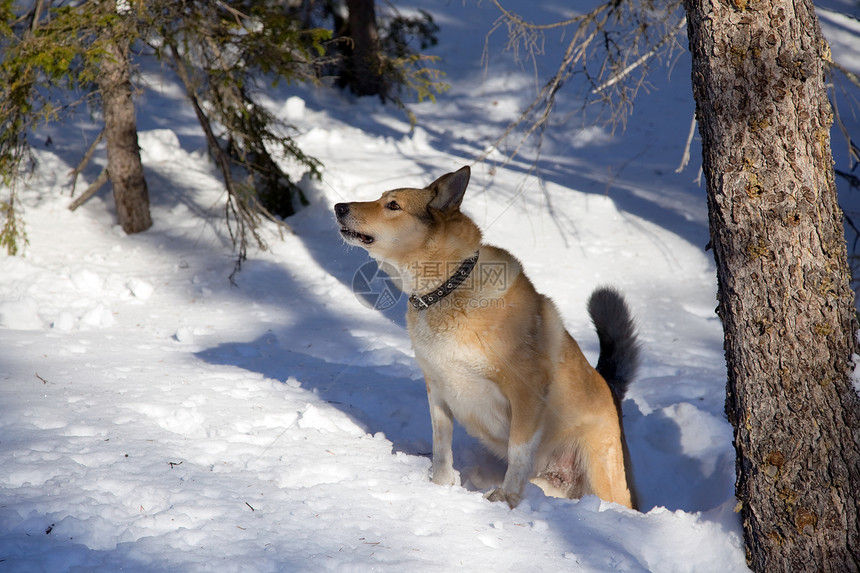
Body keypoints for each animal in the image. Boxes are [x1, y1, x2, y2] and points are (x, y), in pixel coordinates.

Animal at [334, 166, 640, 510]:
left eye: (393, 205)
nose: (339, 207)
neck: (447, 288)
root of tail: (611, 389)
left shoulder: (526, 393)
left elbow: (518, 453)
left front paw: (506, 500)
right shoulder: (437, 387)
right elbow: (441, 444)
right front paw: (440, 486)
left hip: (602, 477)